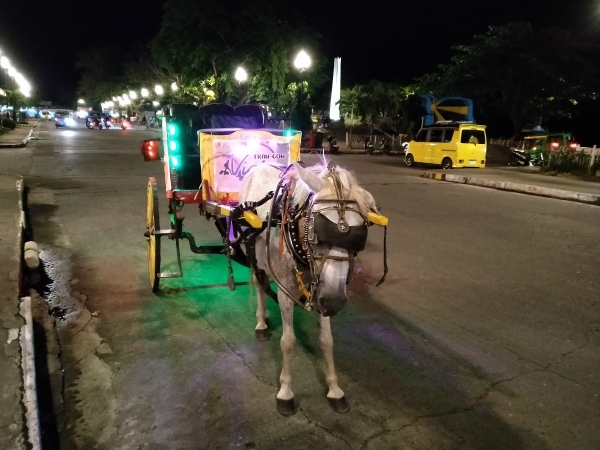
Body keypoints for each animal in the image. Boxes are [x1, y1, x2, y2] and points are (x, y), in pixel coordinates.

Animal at [238, 160, 382, 416]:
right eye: (314, 230)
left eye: (360, 236)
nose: (334, 302)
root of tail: (260, 164)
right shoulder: (286, 291)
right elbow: (288, 342)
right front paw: (285, 392)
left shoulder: (324, 291)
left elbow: (327, 341)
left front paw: (334, 389)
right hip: (253, 255)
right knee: (260, 282)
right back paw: (262, 322)